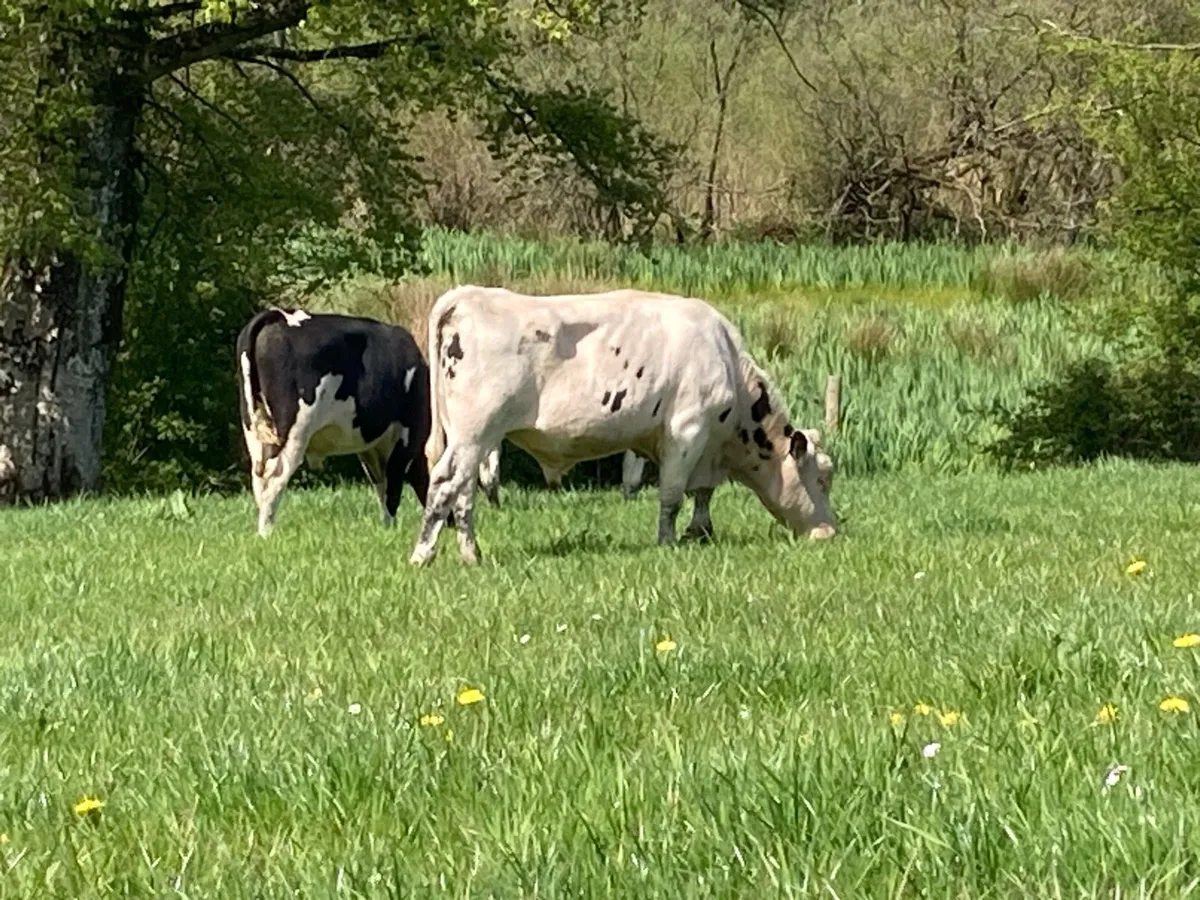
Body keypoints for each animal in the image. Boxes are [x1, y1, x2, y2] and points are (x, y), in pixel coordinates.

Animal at [236, 308, 445, 536]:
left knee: (259, 480)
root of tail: (277, 315)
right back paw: (266, 534)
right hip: (293, 430)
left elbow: (381, 485)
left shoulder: (371, 449)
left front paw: (385, 529)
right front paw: (392, 531)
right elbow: (392, 489)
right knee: (275, 477)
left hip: (255, 430)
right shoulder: (406, 438)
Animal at [409, 286, 837, 565]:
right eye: (821, 478)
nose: (830, 532)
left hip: (470, 439)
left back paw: (471, 554)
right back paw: (423, 554)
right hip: (474, 433)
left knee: (464, 491)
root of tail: (468, 294)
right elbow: (672, 494)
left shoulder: (701, 447)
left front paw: (700, 532)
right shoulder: (687, 431)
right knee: (446, 484)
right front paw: (668, 542)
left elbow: (702, 493)